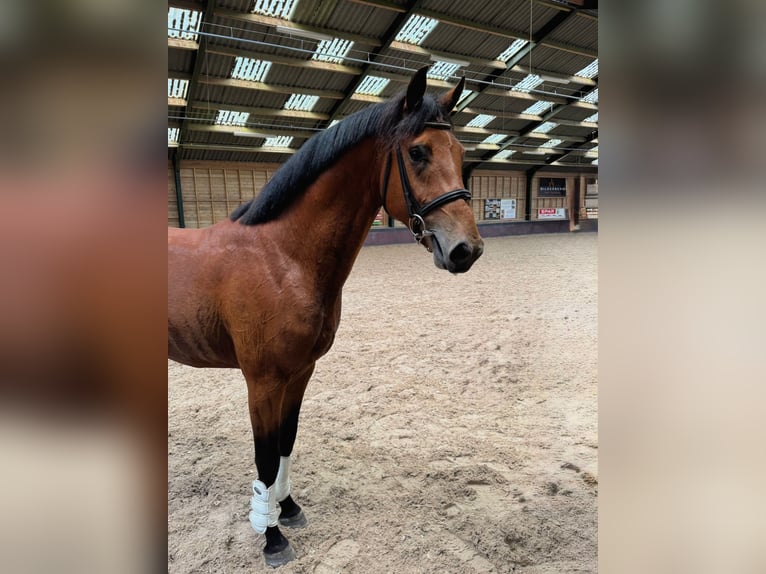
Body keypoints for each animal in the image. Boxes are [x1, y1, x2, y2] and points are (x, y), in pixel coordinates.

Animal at [168, 66, 484, 567]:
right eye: (417, 152)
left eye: (459, 153)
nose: (466, 249)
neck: (282, 257)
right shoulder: (262, 380)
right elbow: (264, 456)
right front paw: (271, 537)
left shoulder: (301, 372)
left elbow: (286, 442)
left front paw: (288, 508)